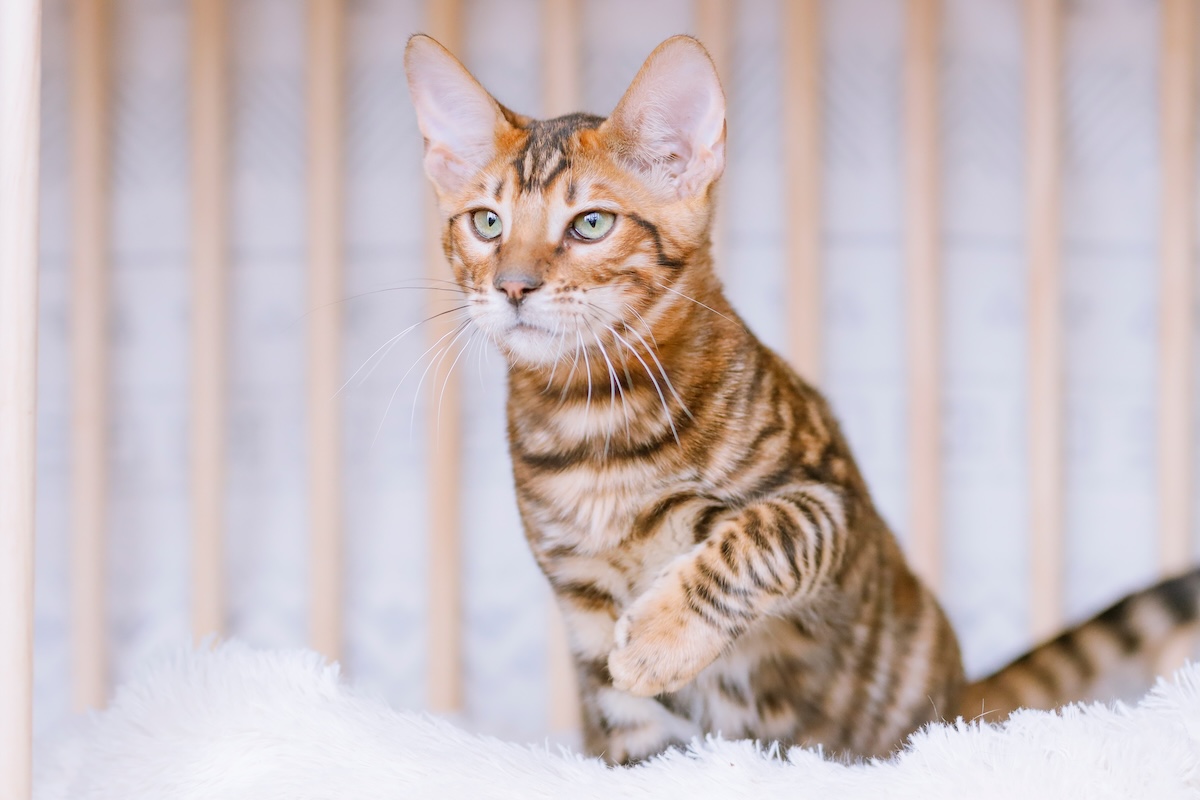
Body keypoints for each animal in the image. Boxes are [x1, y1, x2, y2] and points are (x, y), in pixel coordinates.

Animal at [403, 34, 1200, 767]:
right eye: (487, 223)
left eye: (591, 223)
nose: (512, 285)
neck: (594, 418)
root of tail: (961, 694)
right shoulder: (583, 606)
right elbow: (635, 728)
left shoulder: (828, 504)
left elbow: (756, 538)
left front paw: (660, 641)